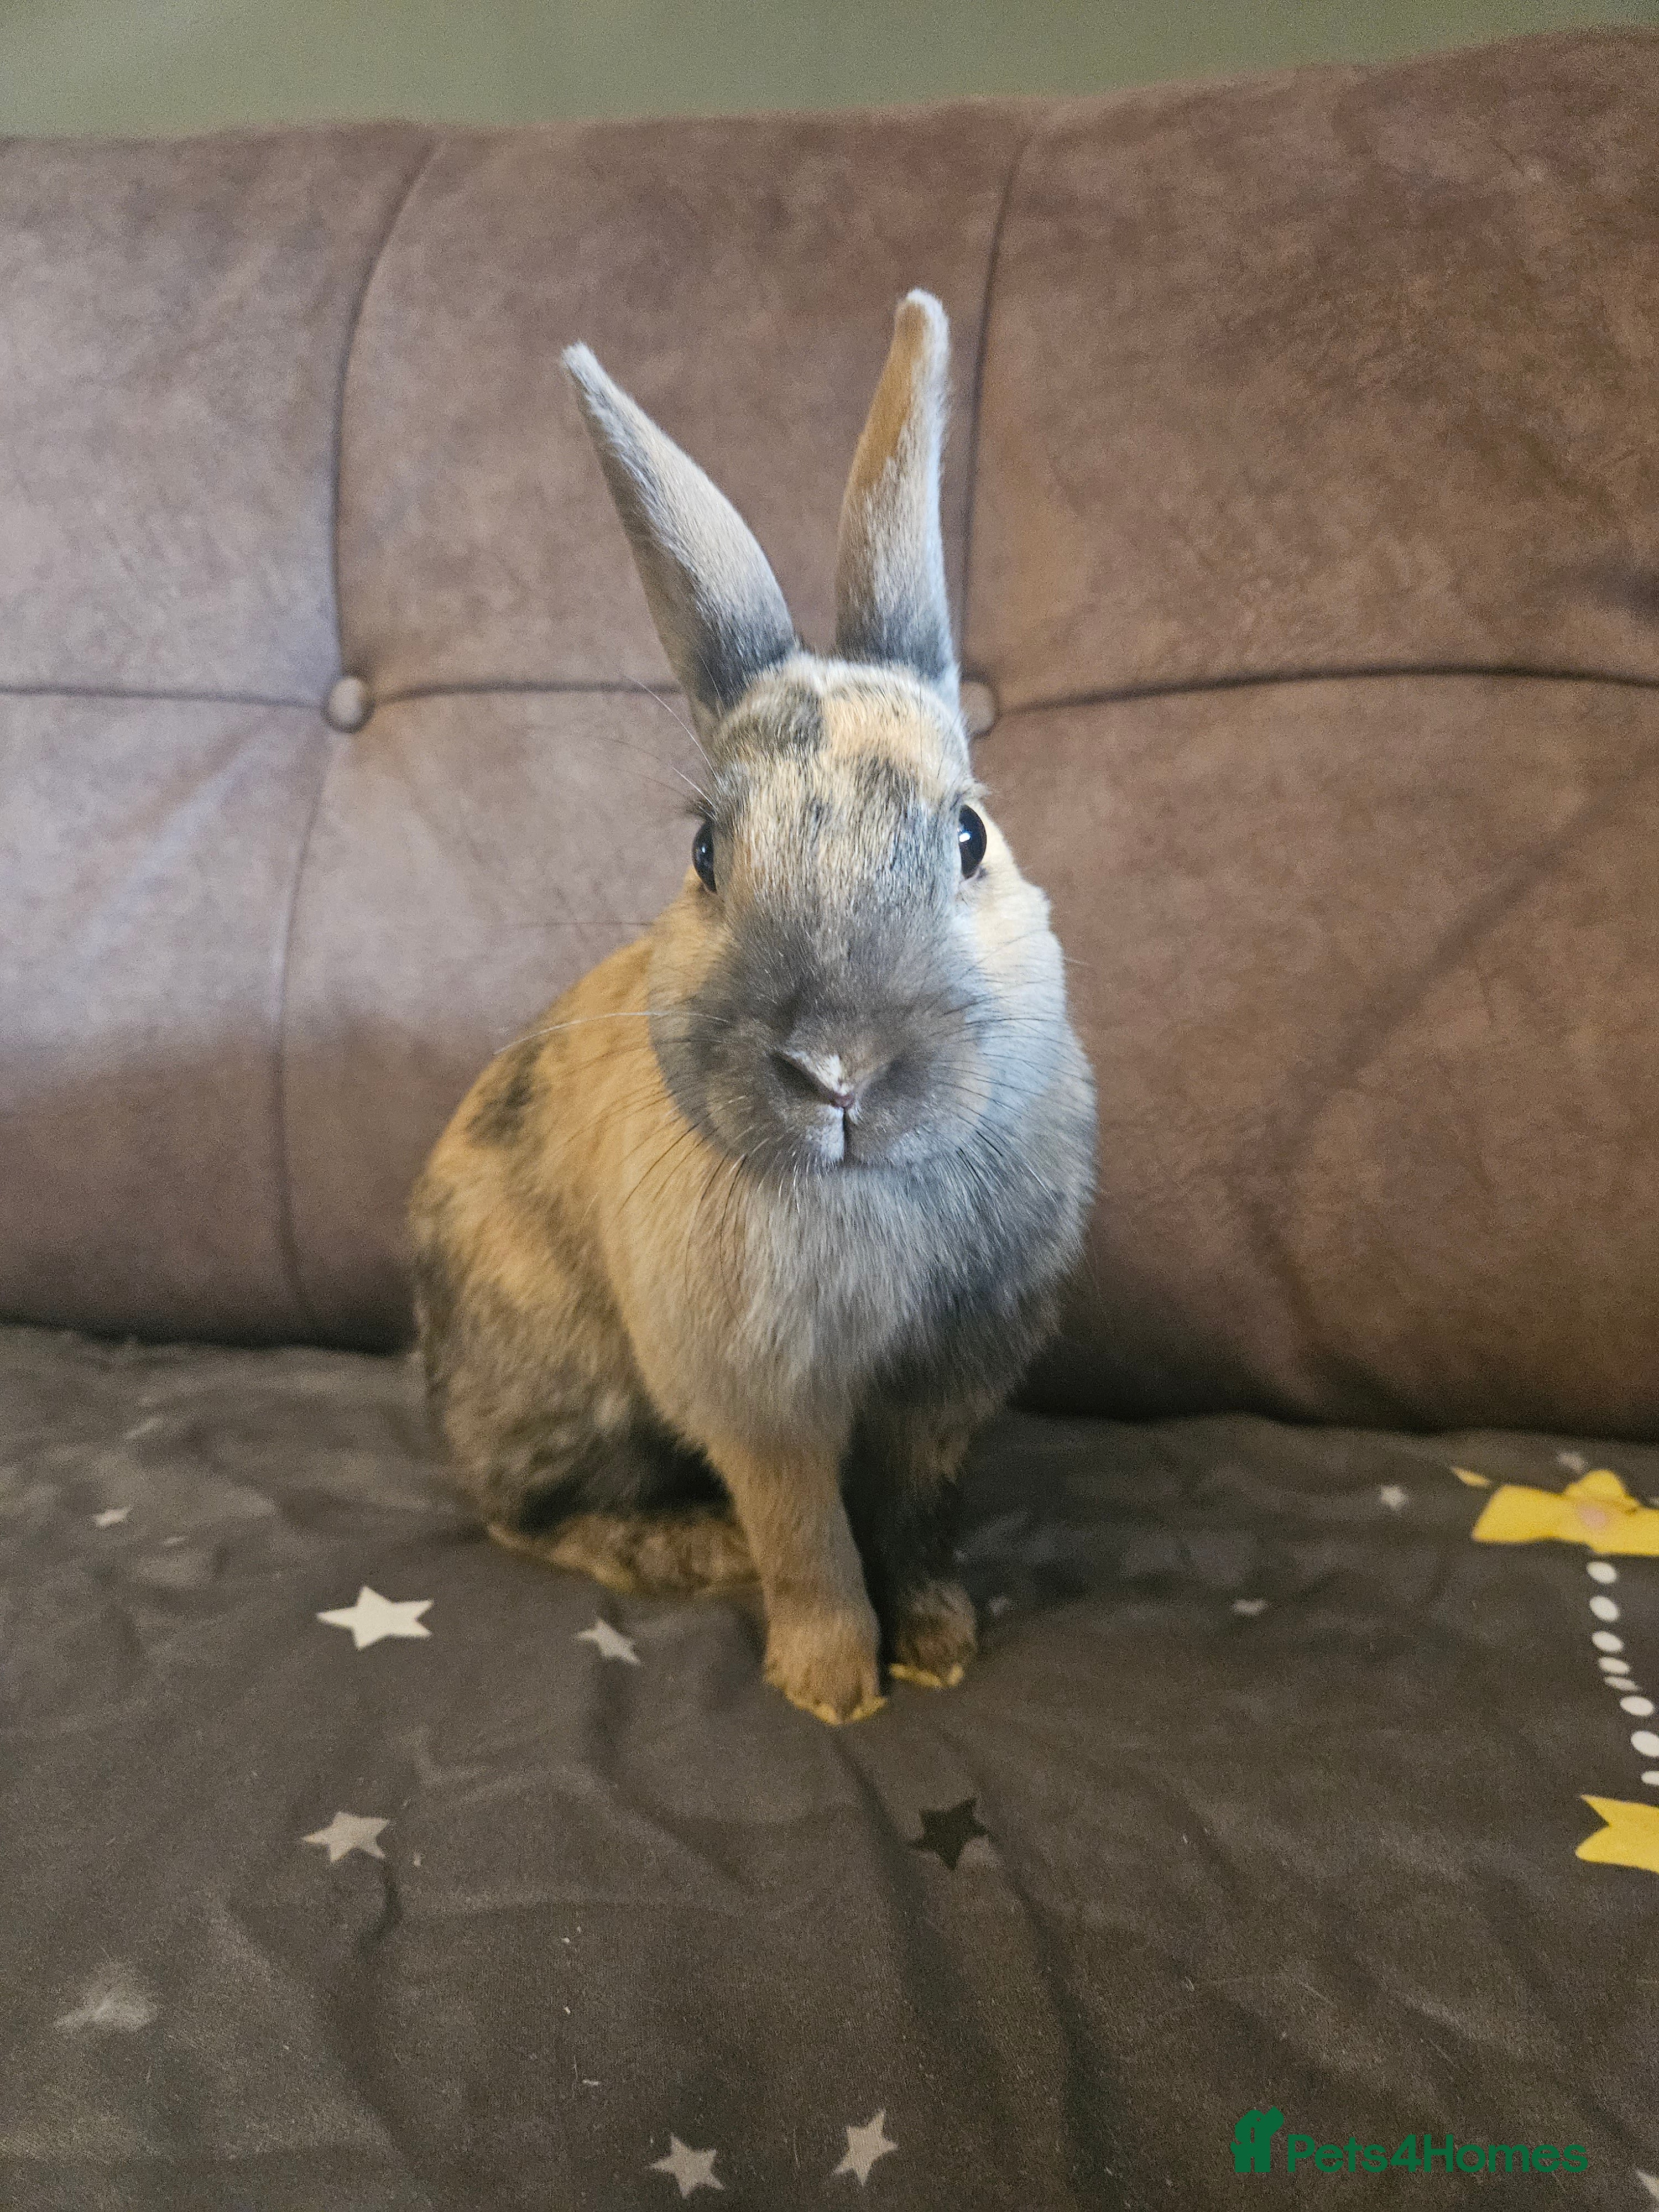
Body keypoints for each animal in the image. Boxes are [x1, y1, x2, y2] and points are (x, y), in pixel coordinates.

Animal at [408, 290, 1096, 1724]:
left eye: (968, 834)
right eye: (705, 853)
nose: (837, 1068)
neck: (862, 1192)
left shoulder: (940, 1399)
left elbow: (918, 1521)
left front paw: (939, 1646)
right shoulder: (759, 1406)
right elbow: (807, 1538)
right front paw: (834, 1687)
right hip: (565, 1383)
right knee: (522, 1513)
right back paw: (690, 1547)